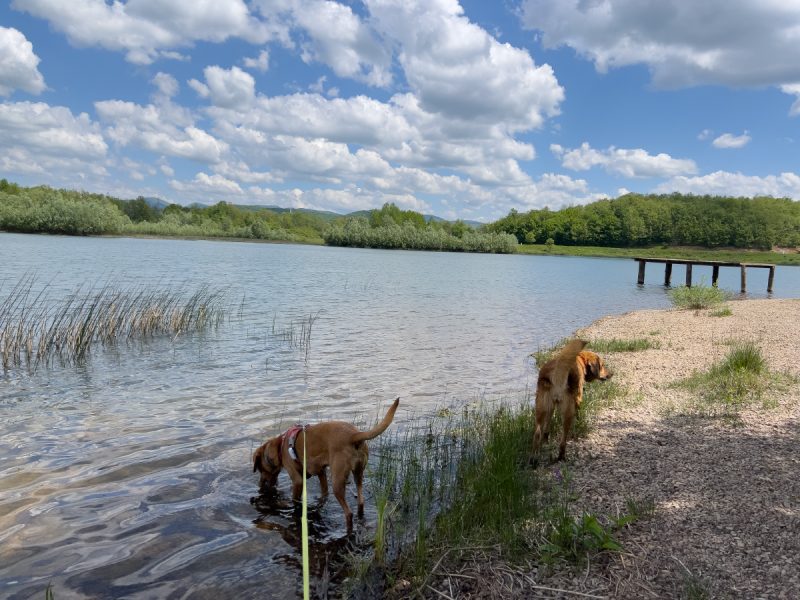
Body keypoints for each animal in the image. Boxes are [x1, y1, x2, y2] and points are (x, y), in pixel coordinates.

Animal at [253, 398, 400, 528]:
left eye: (260, 469)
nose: (260, 484)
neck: (280, 446)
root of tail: (354, 435)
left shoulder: (297, 480)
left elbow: (295, 499)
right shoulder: (321, 472)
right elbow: (324, 492)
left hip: (337, 481)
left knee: (349, 513)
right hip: (358, 474)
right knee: (361, 501)